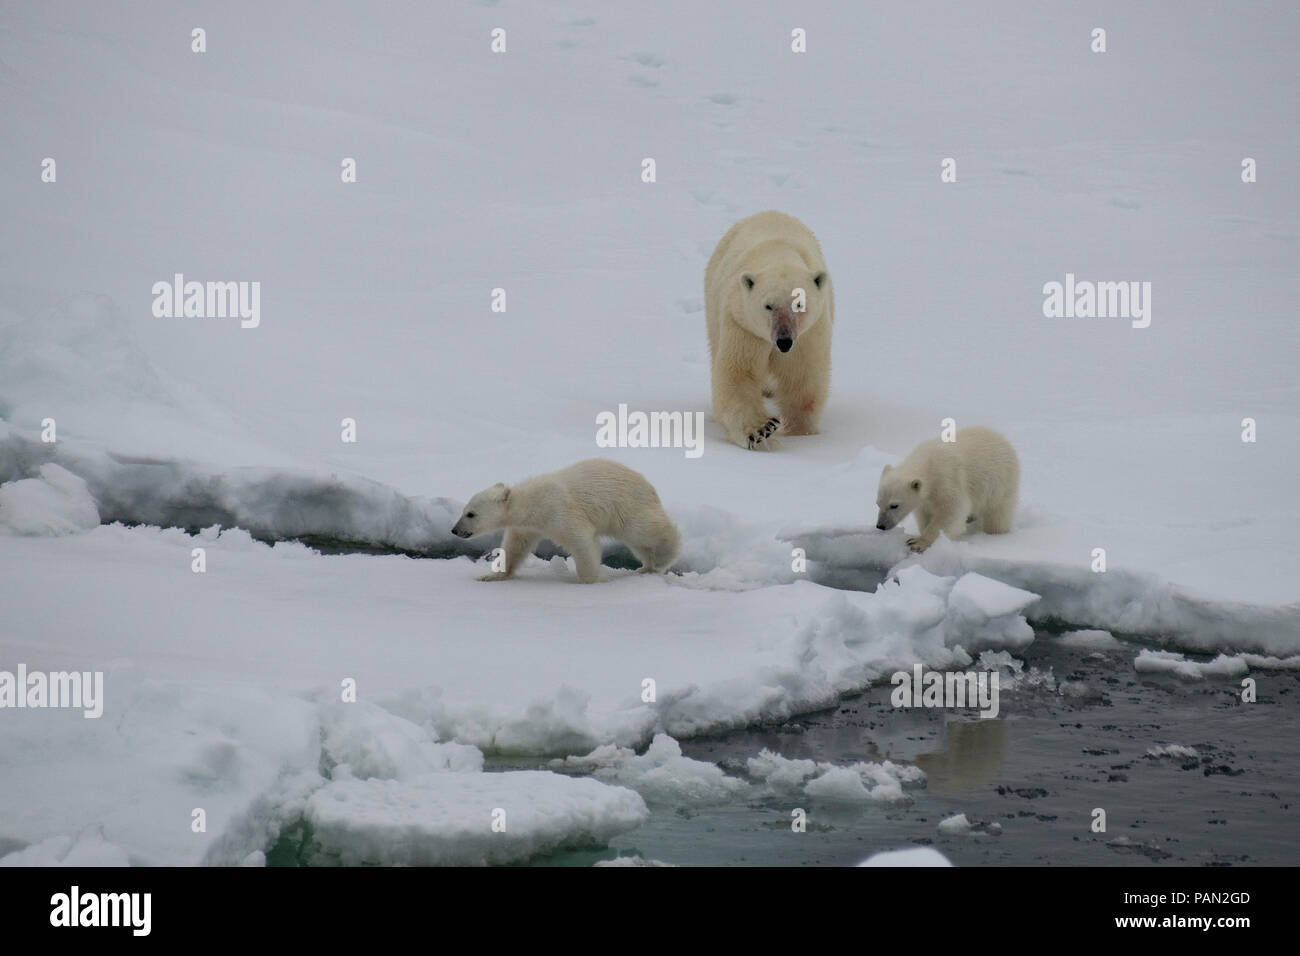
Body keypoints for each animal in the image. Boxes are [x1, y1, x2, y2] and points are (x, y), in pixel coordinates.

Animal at [707, 210, 837, 450]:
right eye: (768, 306)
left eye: (799, 304)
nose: (783, 341)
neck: (778, 252)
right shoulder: (743, 324)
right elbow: (739, 373)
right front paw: (761, 430)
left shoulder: (808, 334)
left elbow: (801, 378)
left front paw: (801, 432)